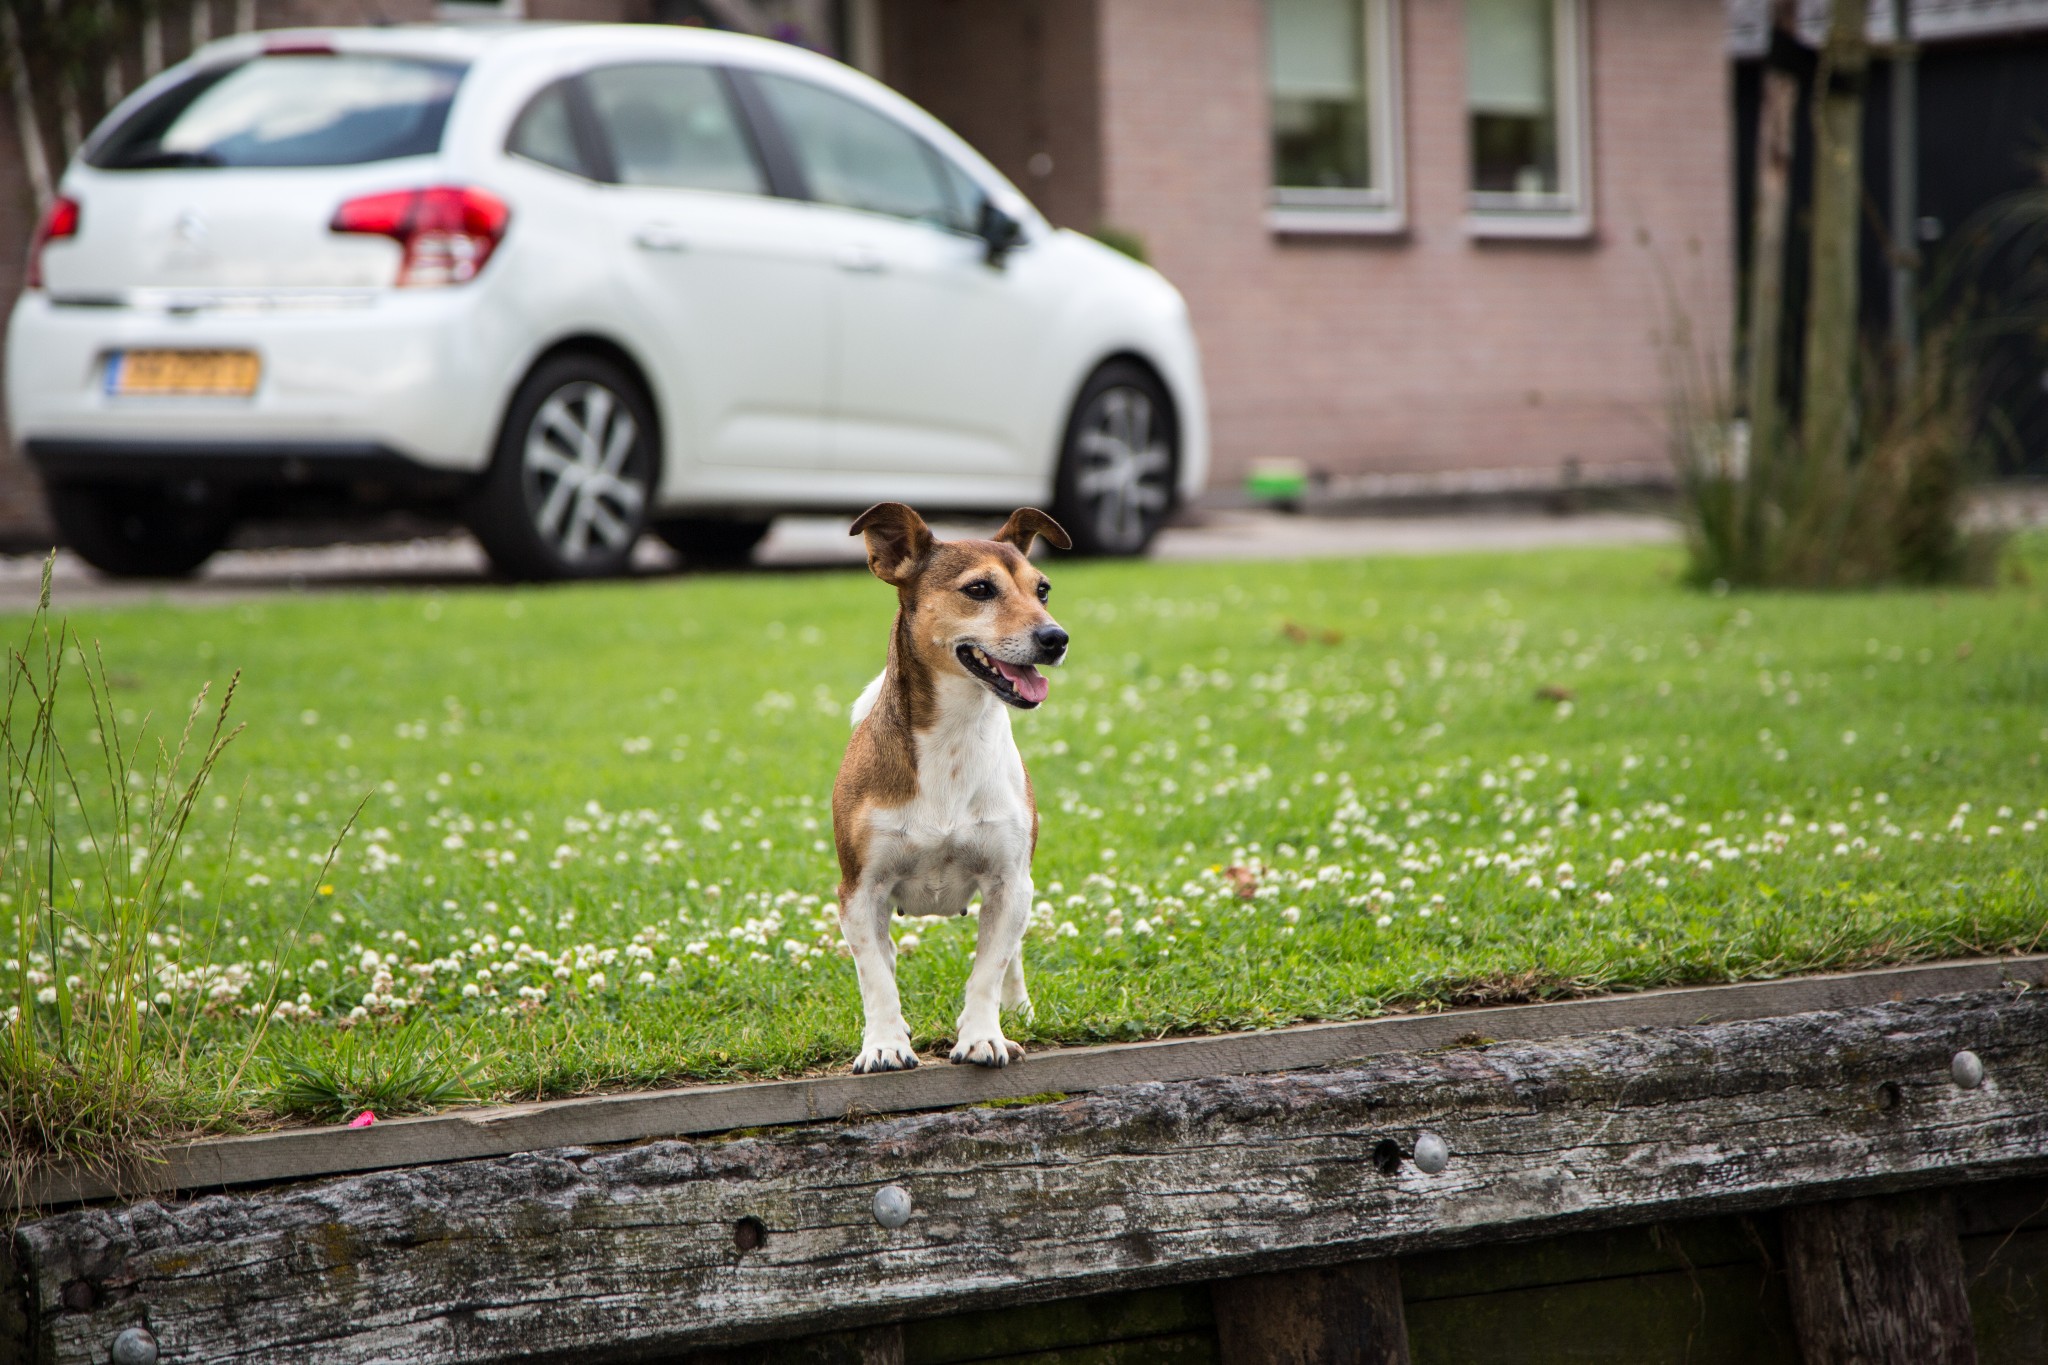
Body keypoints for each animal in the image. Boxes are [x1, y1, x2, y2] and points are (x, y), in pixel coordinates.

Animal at [827, 505, 1073, 1080]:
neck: (955, 738)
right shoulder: (859, 892)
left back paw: (1018, 1009)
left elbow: (988, 970)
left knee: (1011, 957)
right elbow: (875, 978)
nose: (1056, 637)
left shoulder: (1010, 884)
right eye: (979, 589)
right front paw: (884, 1044)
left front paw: (984, 1036)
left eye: (1043, 590)